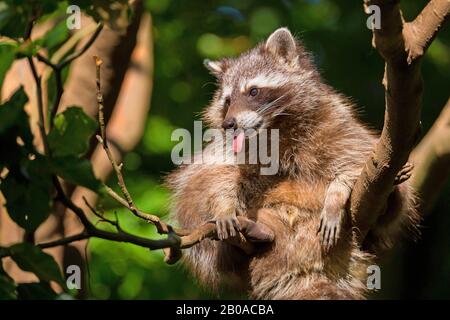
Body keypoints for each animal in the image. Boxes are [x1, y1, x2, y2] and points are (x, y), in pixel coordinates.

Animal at [167, 28, 420, 300]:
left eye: (253, 91)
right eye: (227, 101)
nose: (229, 124)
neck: (275, 128)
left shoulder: (336, 125)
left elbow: (355, 159)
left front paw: (336, 193)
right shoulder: (227, 151)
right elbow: (214, 175)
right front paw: (223, 205)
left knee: (397, 198)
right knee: (194, 190)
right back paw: (255, 231)